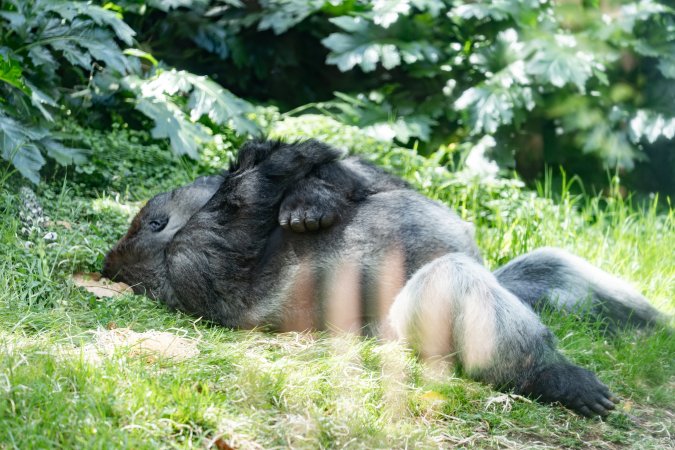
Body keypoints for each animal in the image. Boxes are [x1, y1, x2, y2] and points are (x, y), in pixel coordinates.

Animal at [102, 139, 665, 417]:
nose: (215, 175)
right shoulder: (192, 258)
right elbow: (243, 219)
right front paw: (288, 157)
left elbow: (375, 185)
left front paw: (315, 184)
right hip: (407, 335)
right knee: (455, 278)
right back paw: (547, 374)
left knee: (550, 266)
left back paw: (653, 325)